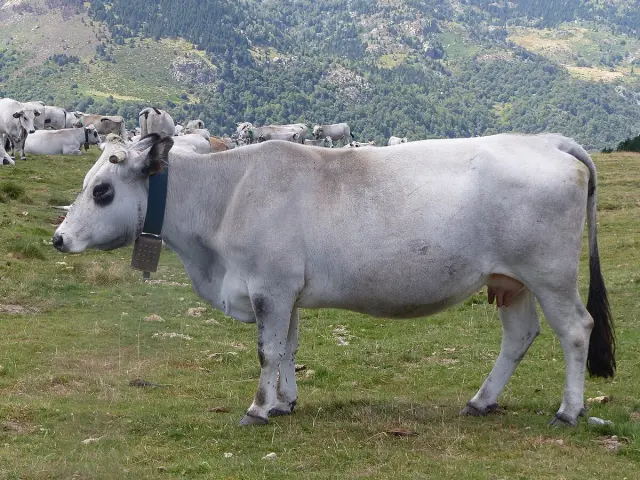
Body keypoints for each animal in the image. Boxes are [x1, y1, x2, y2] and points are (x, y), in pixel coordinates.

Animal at [52, 133, 615, 429]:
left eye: (102, 190)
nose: (58, 239)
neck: (226, 194)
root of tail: (547, 140)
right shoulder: (284, 292)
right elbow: (286, 348)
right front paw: (284, 402)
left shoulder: (270, 288)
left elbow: (266, 351)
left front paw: (258, 408)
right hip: (511, 280)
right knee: (520, 336)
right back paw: (481, 400)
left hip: (549, 274)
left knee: (576, 330)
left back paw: (570, 410)